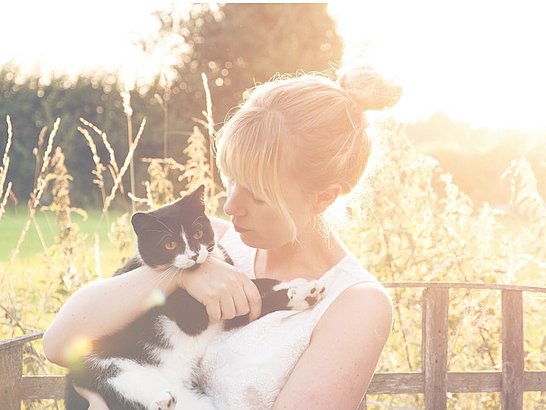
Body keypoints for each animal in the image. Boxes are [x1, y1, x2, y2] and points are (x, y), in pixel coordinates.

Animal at [65, 186, 326, 410]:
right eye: (169, 244)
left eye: (198, 232)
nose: (193, 255)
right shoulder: (195, 314)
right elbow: (251, 287)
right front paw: (299, 289)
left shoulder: (234, 307)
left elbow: (257, 290)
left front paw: (304, 291)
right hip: (110, 375)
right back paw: (161, 403)